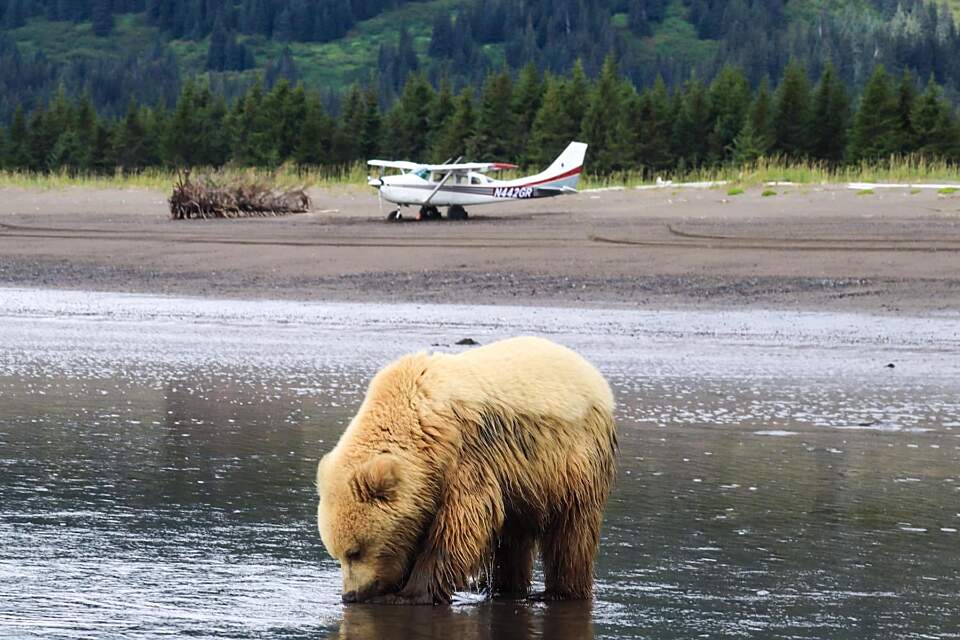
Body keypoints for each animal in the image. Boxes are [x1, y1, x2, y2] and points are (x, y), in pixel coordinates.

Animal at [316, 336, 617, 605]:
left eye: (354, 552)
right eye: (337, 554)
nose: (350, 595)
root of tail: (597, 379)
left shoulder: (466, 457)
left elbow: (462, 523)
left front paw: (408, 594)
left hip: (574, 459)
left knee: (572, 530)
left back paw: (559, 591)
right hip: (523, 479)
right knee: (513, 536)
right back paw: (501, 588)